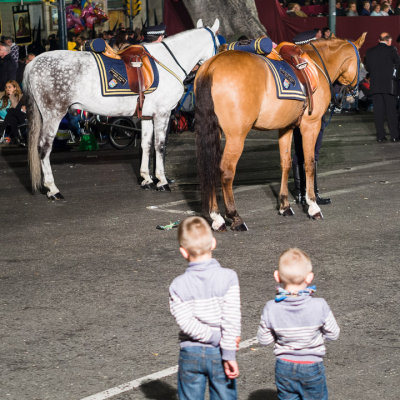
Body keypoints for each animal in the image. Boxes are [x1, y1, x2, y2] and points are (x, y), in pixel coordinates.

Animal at [194, 34, 366, 231]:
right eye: (361, 63)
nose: (355, 92)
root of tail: (212, 66)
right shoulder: (310, 126)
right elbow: (309, 163)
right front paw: (313, 205)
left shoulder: (287, 128)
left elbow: (286, 163)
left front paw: (284, 205)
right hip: (236, 136)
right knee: (226, 170)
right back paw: (234, 217)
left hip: (215, 132)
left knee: (211, 168)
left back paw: (216, 217)